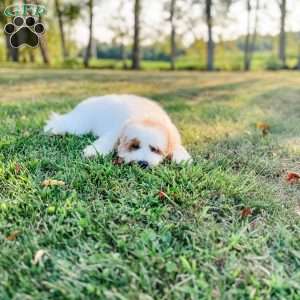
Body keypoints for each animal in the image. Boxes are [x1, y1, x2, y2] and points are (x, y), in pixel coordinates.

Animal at [43, 95, 191, 168]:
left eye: (155, 149)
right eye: (134, 146)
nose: (143, 163)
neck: (147, 116)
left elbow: (178, 147)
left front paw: (182, 157)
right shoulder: (116, 129)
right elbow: (106, 142)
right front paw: (93, 152)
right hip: (79, 124)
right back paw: (52, 129)